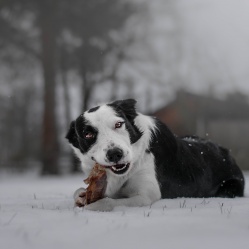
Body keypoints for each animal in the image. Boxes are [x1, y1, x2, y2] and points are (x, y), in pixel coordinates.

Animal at [65, 98, 245, 211]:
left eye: (118, 124)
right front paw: (81, 196)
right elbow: (77, 192)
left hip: (229, 188)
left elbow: (108, 203)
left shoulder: (146, 195)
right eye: (88, 134)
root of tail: (227, 152)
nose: (115, 154)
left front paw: (92, 206)